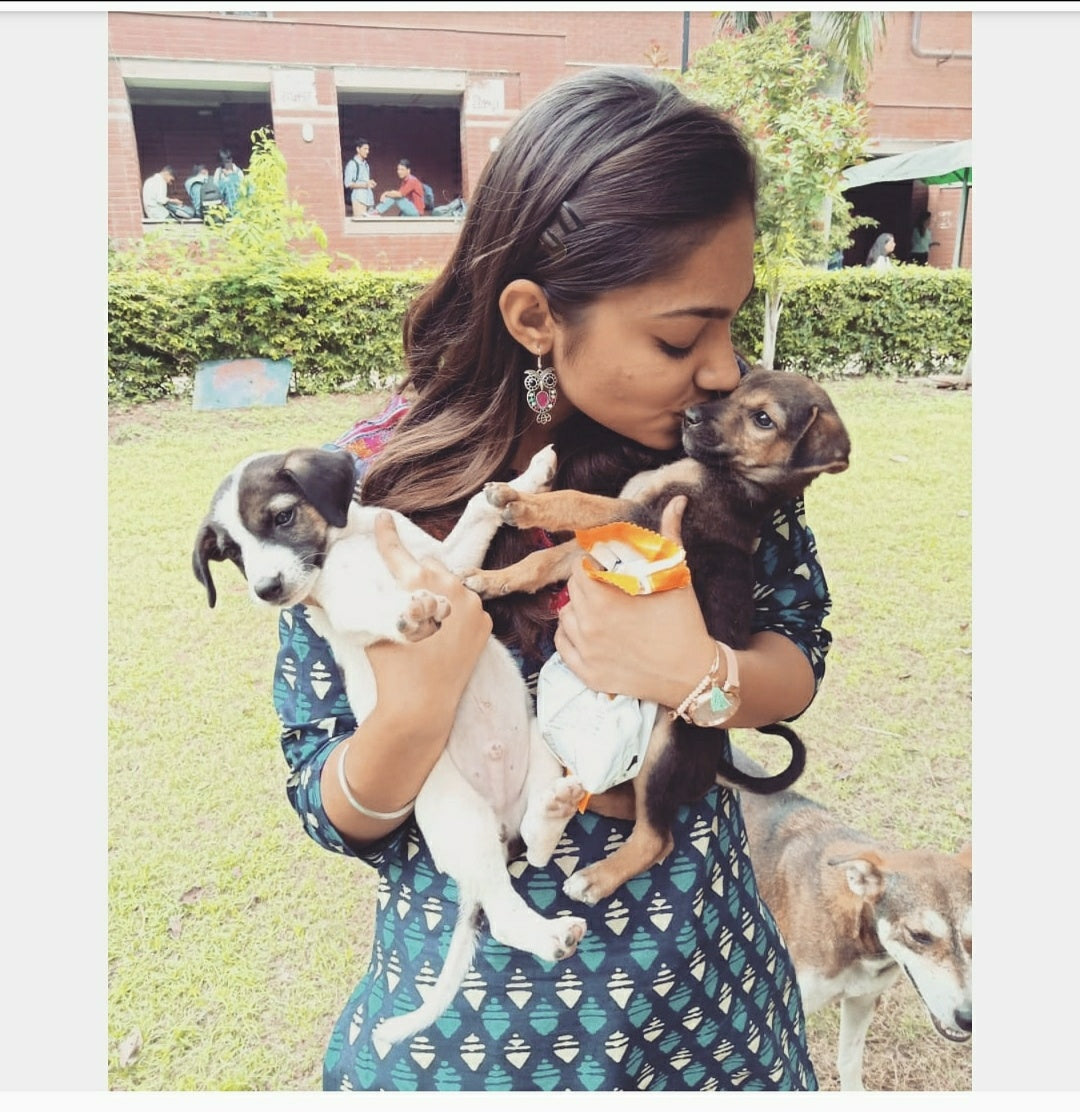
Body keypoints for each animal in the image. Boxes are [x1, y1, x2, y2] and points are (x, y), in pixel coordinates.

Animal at [190, 444, 587, 1049]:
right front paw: (406, 614)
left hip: (539, 749)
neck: (346, 546)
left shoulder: (448, 565)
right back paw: (548, 936)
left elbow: (478, 512)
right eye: (233, 554)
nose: (267, 590)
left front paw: (526, 481)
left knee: (539, 844)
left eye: (282, 517)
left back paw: (554, 808)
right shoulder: (343, 608)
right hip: (461, 818)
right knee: (501, 908)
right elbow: (371, 610)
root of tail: (501, 820)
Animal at [464, 364, 854, 902]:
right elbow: (537, 563)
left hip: (665, 746)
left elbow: (577, 501)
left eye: (763, 419)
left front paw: (518, 502)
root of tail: (713, 766)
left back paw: (594, 878)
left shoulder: (636, 518)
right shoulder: (596, 542)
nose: (690, 415)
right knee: (625, 804)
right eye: (732, 391)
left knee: (656, 836)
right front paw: (490, 580)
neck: (729, 479)